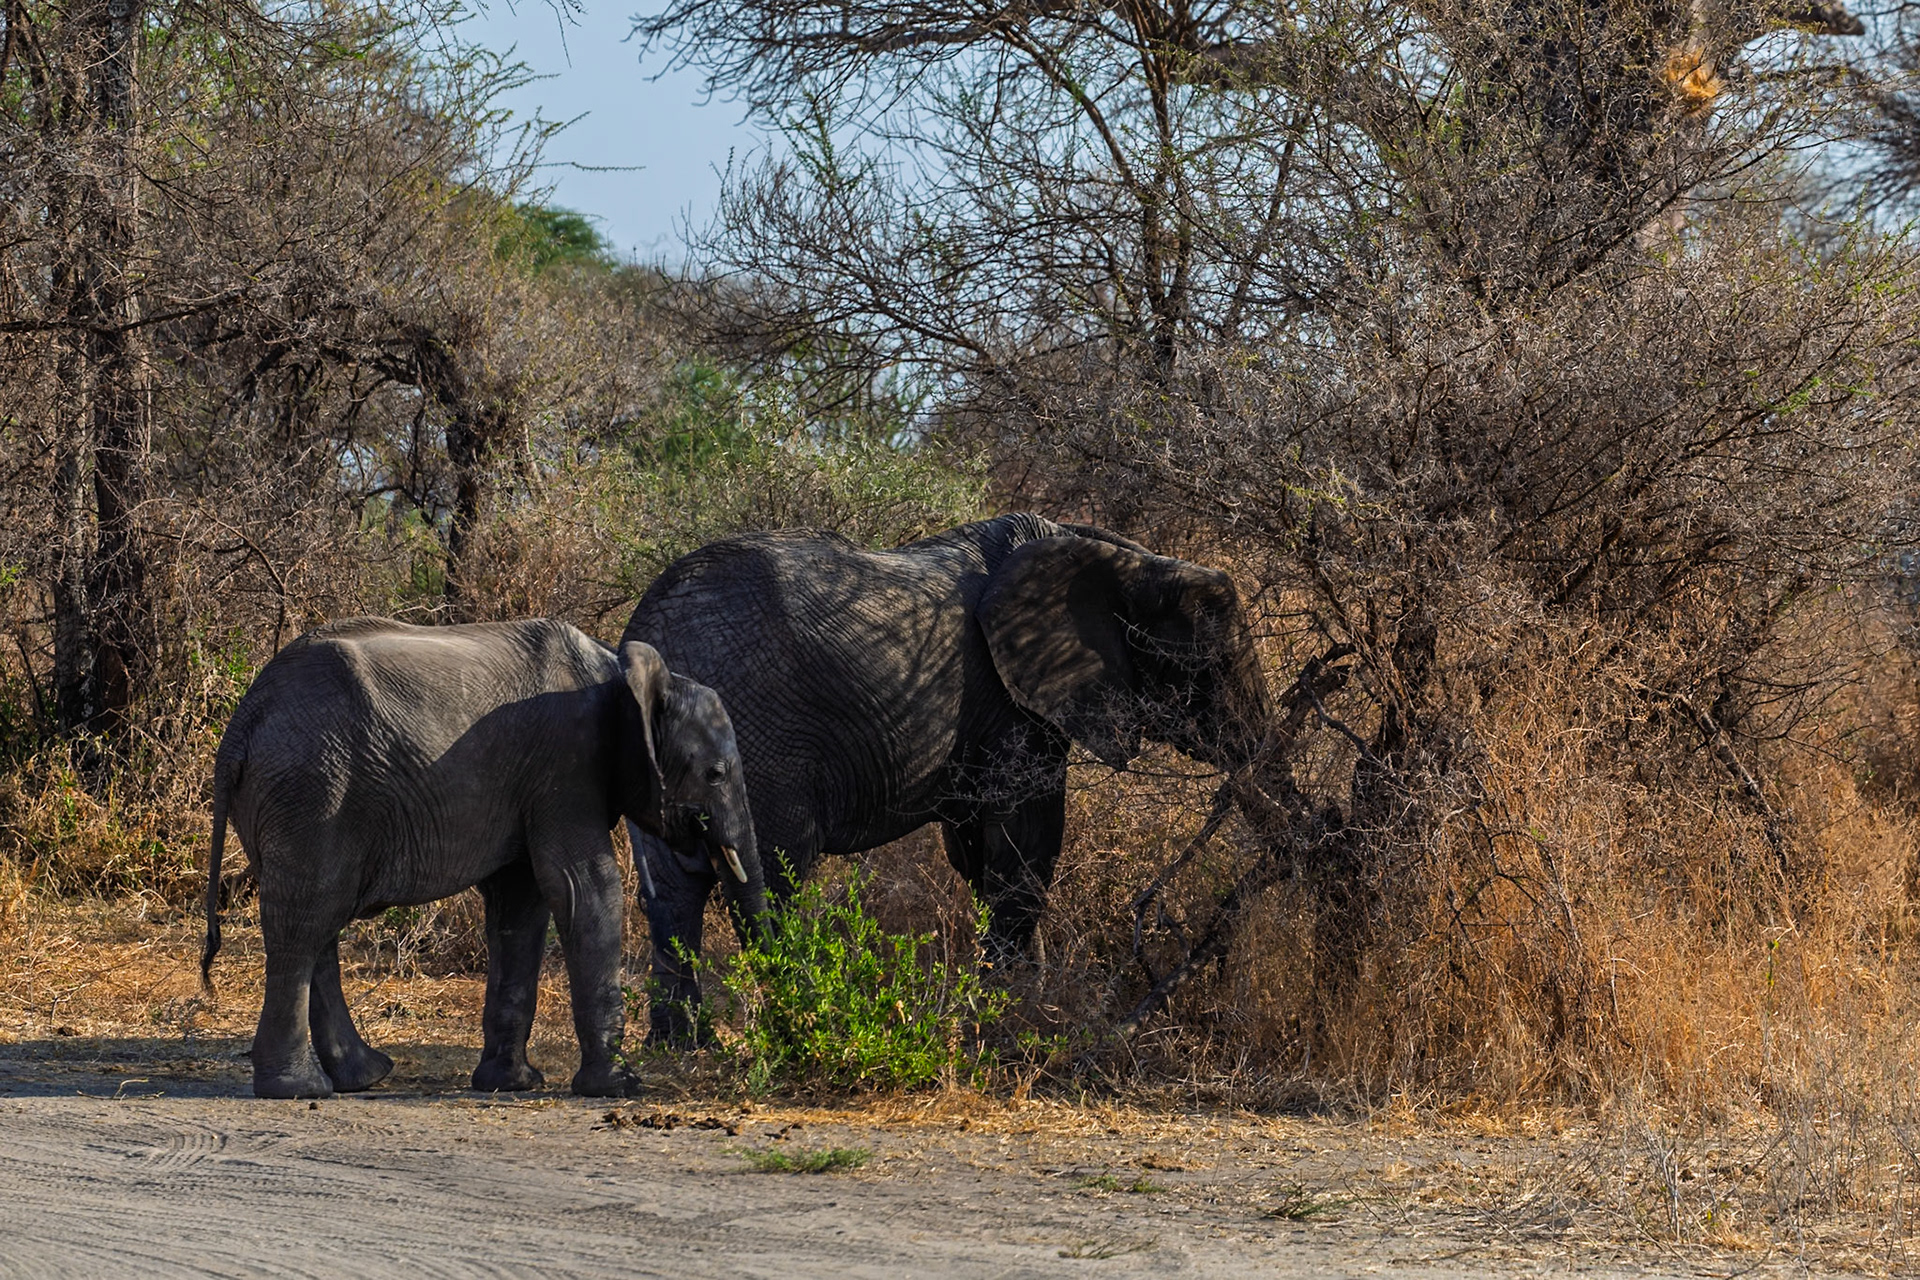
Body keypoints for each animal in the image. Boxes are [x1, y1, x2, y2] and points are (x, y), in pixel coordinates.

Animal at [199, 617, 765, 1099]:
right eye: (715, 774)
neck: (623, 672)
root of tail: (244, 722)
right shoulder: (568, 762)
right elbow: (584, 885)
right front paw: (619, 1086)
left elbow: (522, 904)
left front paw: (511, 1084)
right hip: (313, 789)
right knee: (304, 921)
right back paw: (300, 1089)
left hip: (291, 797)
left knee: (317, 922)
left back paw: (362, 1077)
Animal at [621, 512, 1272, 1040]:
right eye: (1209, 666)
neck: (1127, 558)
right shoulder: (1011, 704)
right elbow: (1025, 844)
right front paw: (1011, 1017)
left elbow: (977, 854)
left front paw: (1018, 1001)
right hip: (757, 744)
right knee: (770, 881)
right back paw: (801, 1025)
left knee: (672, 895)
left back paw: (683, 1048)